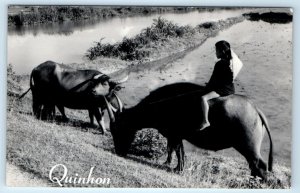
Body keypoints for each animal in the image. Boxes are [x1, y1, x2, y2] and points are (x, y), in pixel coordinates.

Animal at [110, 82, 274, 180]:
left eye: (117, 129)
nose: (118, 152)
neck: (160, 105)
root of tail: (255, 109)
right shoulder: (175, 136)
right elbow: (175, 151)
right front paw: (172, 165)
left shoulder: (174, 135)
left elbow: (177, 151)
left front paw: (178, 168)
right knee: (254, 165)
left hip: (248, 147)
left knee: (260, 165)